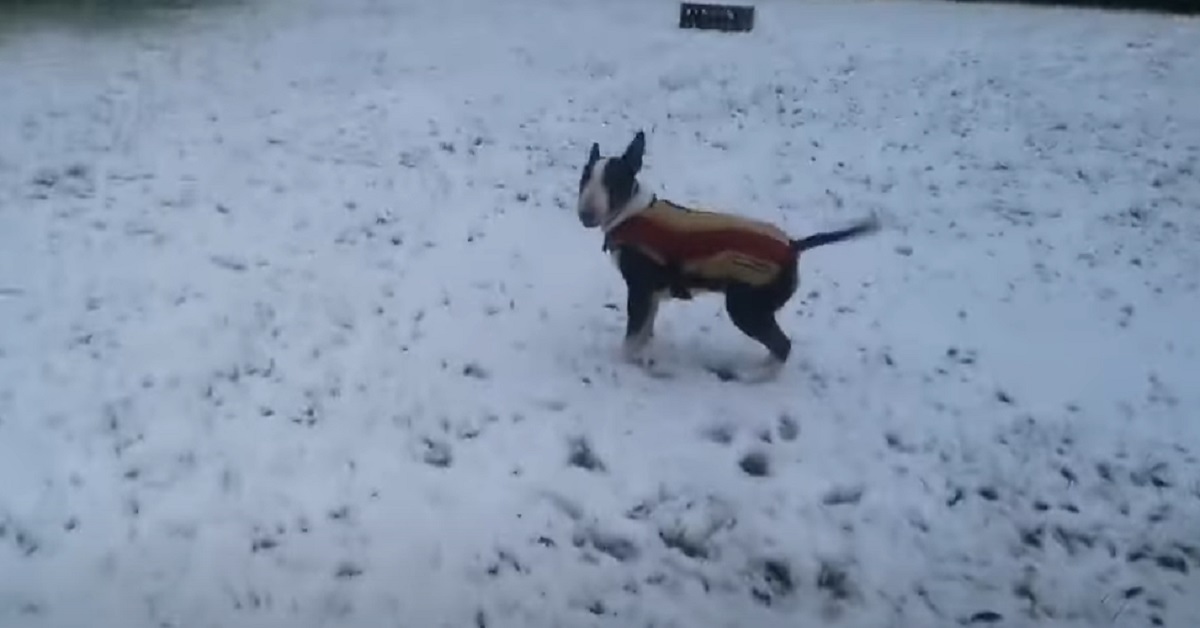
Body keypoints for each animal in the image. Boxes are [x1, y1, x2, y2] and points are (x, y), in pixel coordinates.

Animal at [576, 130, 878, 381]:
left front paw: (628, 361)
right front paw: (644, 352)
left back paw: (752, 376)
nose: (585, 214)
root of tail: (793, 246)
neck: (632, 213)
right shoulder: (651, 293)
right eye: (585, 177)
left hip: (745, 306)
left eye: (614, 182)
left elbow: (632, 336)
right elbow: (644, 330)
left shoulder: (639, 289)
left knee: (783, 345)